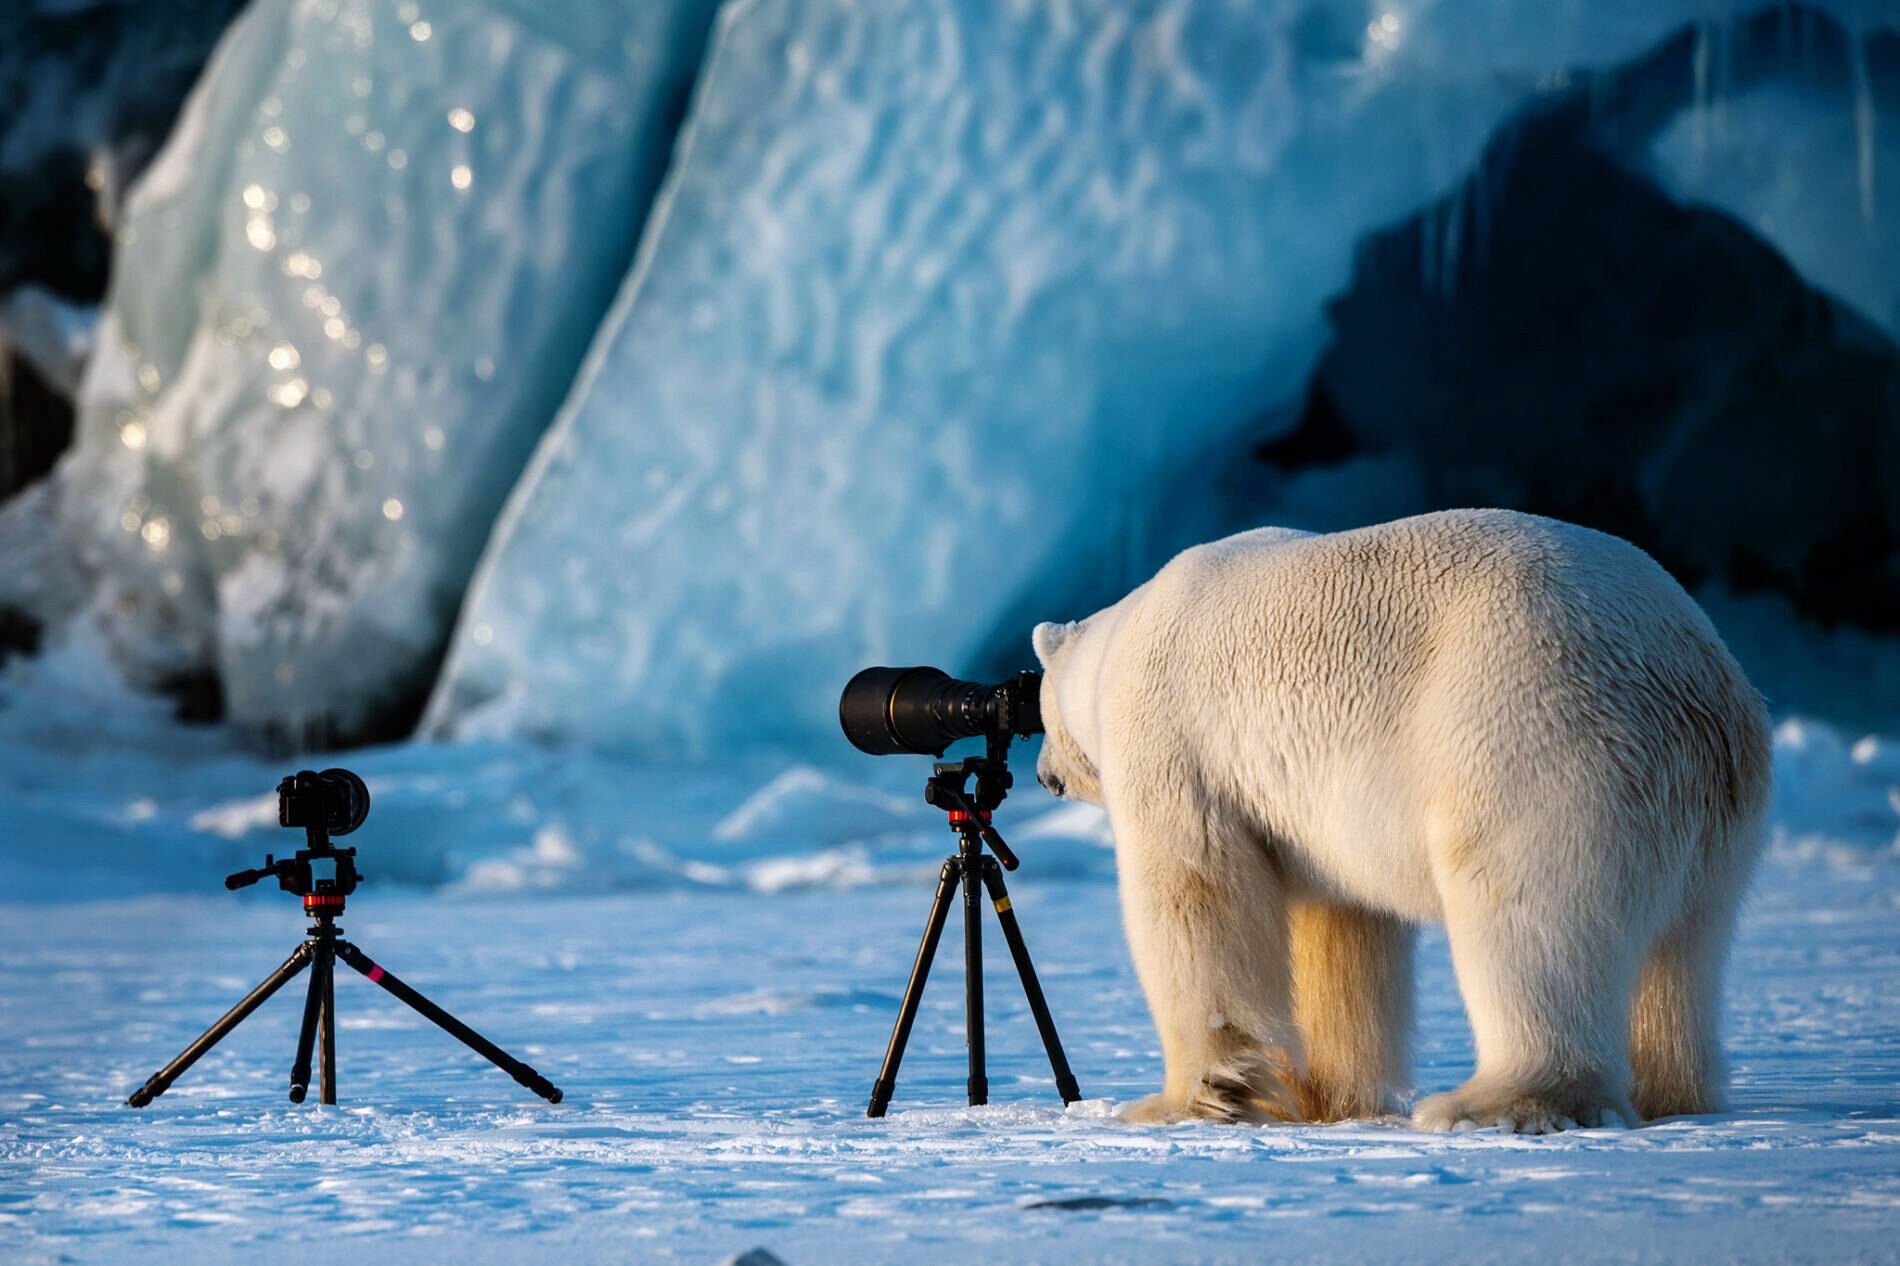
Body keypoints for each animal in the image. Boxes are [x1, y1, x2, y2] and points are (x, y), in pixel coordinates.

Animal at [1041, 509, 1763, 1125]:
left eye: (1039, 713)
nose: (1046, 776)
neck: (1117, 641)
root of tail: (1692, 675)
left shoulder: (1174, 740)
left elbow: (1194, 896)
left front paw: (1185, 1101)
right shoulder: (1314, 816)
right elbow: (1341, 929)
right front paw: (1324, 1098)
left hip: (1537, 734)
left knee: (1529, 917)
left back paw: (1490, 1102)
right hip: (1711, 810)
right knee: (1685, 950)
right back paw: (1673, 1094)